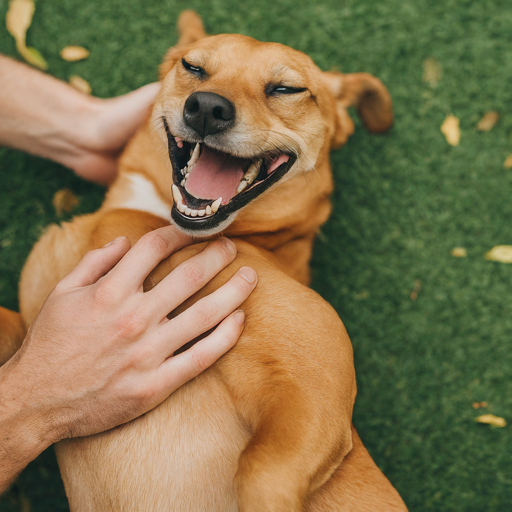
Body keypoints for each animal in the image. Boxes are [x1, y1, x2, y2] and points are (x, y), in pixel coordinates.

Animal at [0, 10, 408, 510]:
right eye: (193, 66)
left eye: (286, 88)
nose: (208, 108)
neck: (153, 217)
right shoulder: (35, 322)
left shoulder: (314, 389)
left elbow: (260, 474)